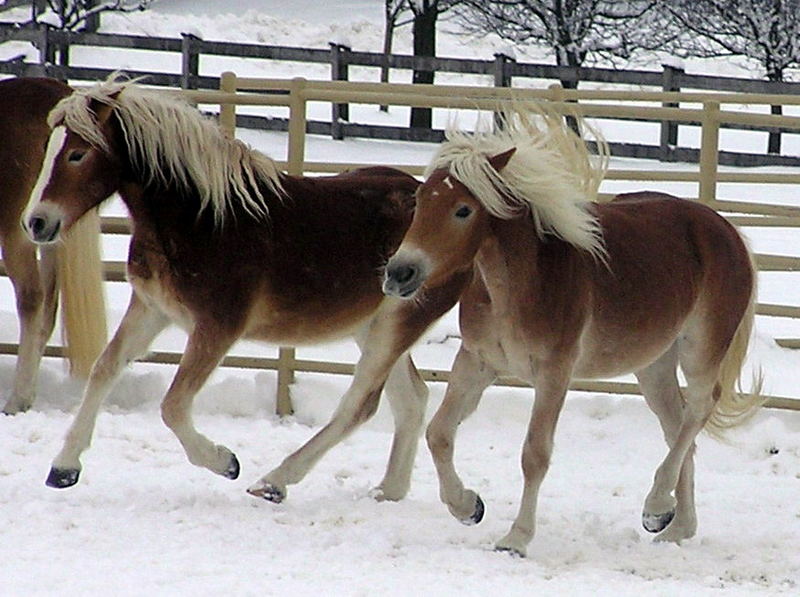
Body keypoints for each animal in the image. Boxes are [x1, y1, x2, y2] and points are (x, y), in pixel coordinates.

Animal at [23, 74, 468, 500]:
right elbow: (105, 370)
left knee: (361, 405)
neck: (202, 219)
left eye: (78, 153)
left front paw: (225, 462)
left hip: (396, 324)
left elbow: (173, 406)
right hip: (372, 328)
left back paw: (275, 482)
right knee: (411, 400)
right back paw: (392, 492)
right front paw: (64, 468)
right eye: (48, 149)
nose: (36, 223)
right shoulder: (152, 309)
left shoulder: (217, 328)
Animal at [384, 106, 764, 556]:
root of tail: (727, 233)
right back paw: (674, 525)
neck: (521, 282)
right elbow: (439, 433)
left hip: (701, 349)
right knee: (677, 428)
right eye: (419, 203)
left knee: (701, 409)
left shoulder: (555, 373)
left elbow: (535, 454)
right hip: (654, 366)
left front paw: (516, 538)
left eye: (463, 209)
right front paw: (468, 506)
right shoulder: (476, 362)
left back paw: (656, 504)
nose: (399, 273)